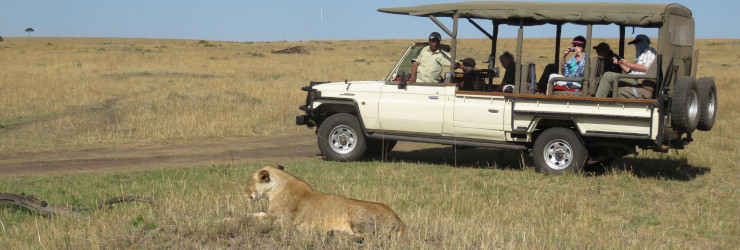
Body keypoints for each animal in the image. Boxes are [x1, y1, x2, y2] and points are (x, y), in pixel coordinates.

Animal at [246, 165, 404, 239]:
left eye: (250, 181)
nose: (246, 193)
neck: (274, 188)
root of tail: (401, 222)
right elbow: (257, 214)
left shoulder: (280, 220)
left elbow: (255, 217)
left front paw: (241, 217)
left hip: (352, 207)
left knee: (369, 236)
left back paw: (336, 234)